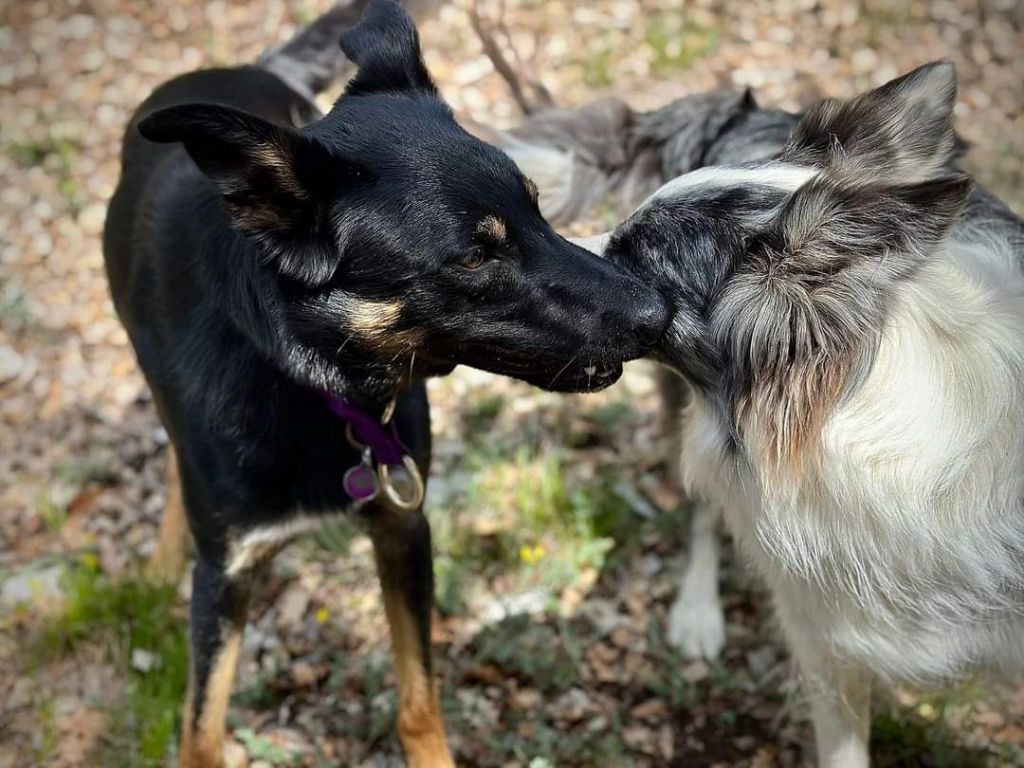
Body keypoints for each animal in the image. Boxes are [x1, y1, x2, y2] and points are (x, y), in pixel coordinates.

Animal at [99, 3, 667, 765]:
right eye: (476, 257)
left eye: (539, 210)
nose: (659, 313)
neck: (313, 383)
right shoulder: (227, 578)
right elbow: (201, 733)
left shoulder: (404, 529)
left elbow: (419, 703)